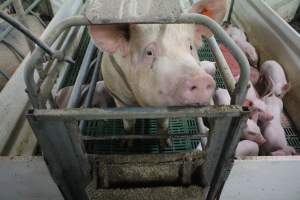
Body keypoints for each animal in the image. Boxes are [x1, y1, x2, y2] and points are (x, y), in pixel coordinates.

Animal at [88, 0, 229, 147]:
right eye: (149, 52)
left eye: (190, 47)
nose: (200, 79)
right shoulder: (118, 95)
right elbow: (128, 121)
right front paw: (125, 145)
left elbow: (163, 121)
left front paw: (166, 144)